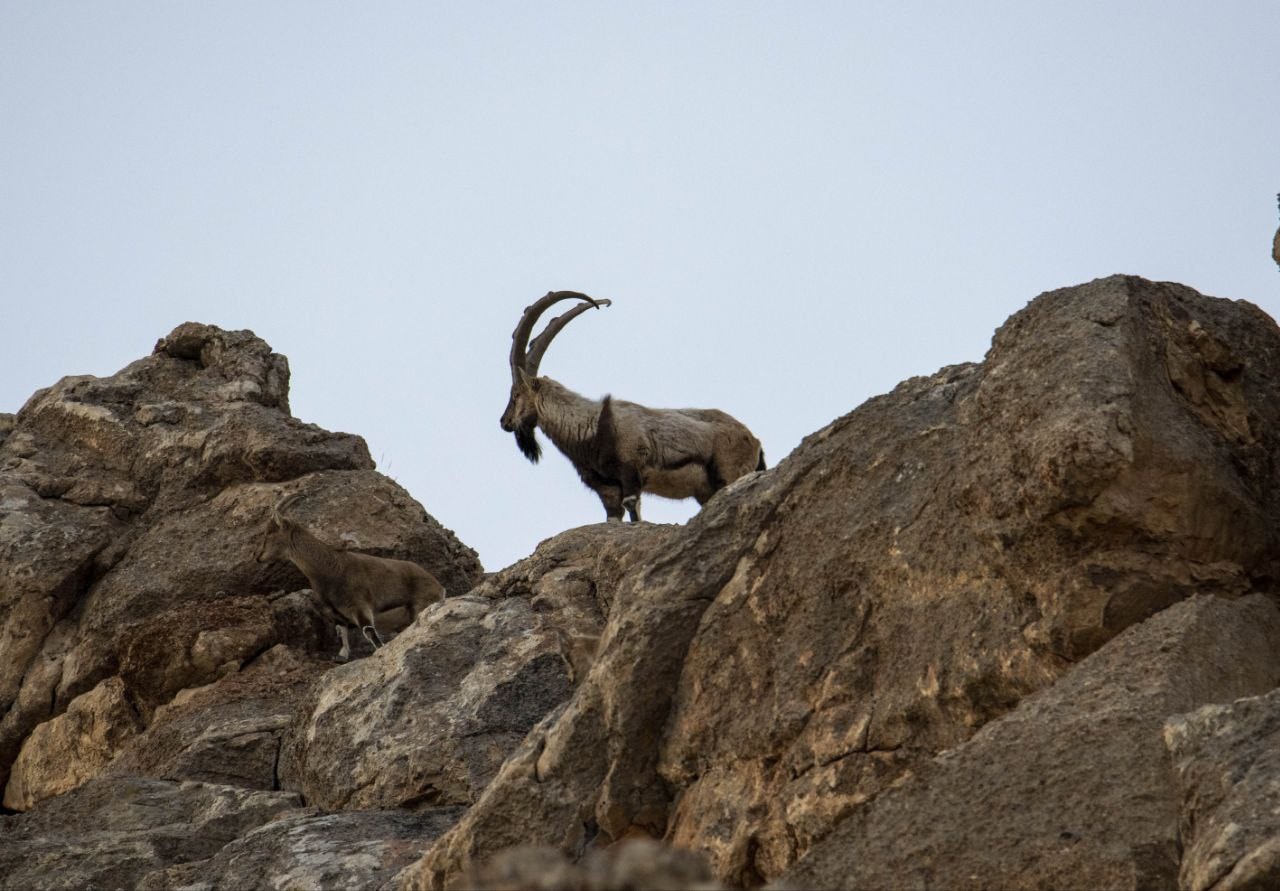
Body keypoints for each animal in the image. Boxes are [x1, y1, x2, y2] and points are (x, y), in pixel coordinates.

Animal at [254, 491, 445, 655]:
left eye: (269, 532)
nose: (258, 556)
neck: (330, 569)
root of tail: (439, 587)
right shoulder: (338, 614)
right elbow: (343, 638)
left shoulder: (360, 606)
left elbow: (370, 634)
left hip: (421, 604)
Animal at [496, 289, 757, 522]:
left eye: (516, 394)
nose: (504, 422)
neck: (591, 427)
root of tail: (754, 440)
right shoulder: (607, 489)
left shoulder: (631, 472)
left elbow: (634, 510)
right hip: (706, 491)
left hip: (729, 472)